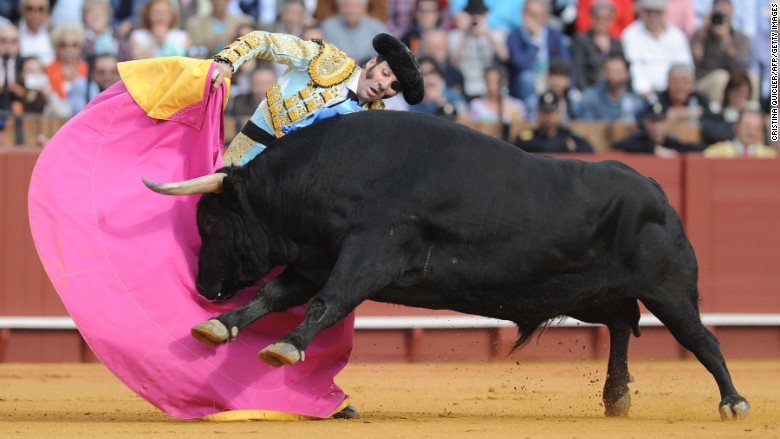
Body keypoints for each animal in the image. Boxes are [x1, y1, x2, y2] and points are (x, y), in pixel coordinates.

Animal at [145, 109, 748, 420]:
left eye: (212, 222)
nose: (205, 286)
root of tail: (655, 190)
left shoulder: (371, 252)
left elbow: (323, 302)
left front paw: (284, 347)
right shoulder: (317, 259)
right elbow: (273, 295)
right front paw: (217, 327)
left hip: (669, 288)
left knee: (701, 338)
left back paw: (733, 402)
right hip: (588, 294)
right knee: (622, 324)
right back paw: (616, 397)